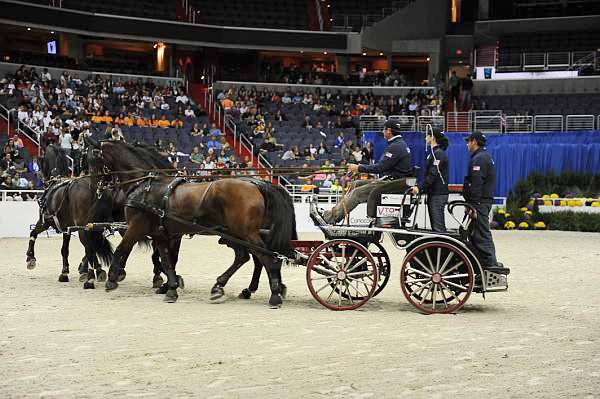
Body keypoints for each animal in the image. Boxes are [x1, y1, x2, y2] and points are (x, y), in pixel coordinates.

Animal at [85, 139, 298, 308]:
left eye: (91, 160)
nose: (93, 186)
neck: (145, 186)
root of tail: (258, 184)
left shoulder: (136, 227)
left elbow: (123, 249)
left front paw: (112, 279)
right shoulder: (160, 233)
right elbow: (167, 260)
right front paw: (171, 288)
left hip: (246, 233)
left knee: (266, 258)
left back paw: (274, 295)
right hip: (238, 234)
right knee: (247, 257)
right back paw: (223, 287)